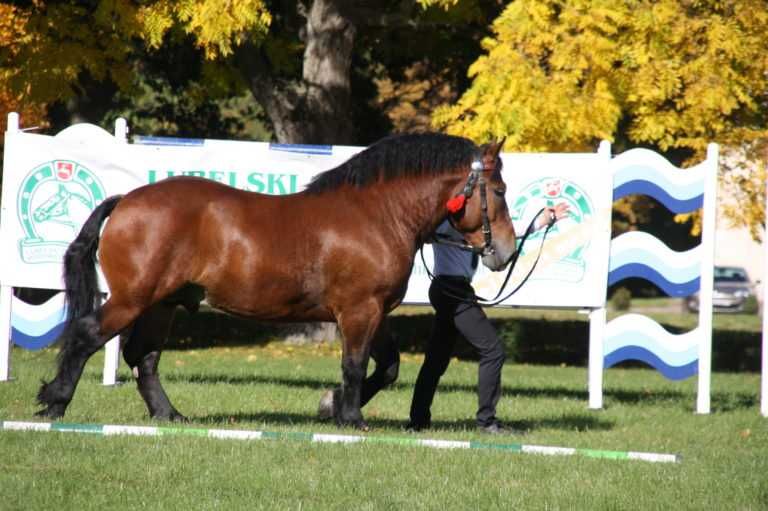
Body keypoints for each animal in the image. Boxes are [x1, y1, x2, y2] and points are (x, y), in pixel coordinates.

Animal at [36, 134, 516, 430]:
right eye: (499, 190)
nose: (507, 251)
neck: (376, 214)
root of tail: (125, 201)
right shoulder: (359, 310)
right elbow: (355, 364)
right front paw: (350, 417)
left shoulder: (373, 312)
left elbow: (388, 366)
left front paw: (331, 405)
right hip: (133, 299)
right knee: (88, 335)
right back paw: (54, 401)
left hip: (161, 304)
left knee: (145, 357)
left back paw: (168, 415)